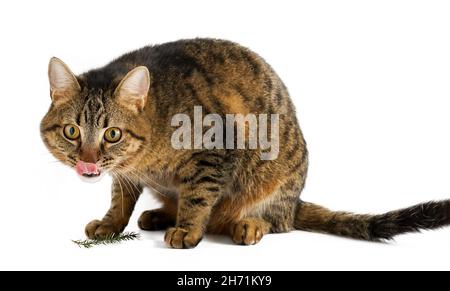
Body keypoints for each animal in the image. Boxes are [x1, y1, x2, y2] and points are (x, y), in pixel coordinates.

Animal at [41, 38, 450, 249]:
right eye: (71, 132)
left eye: (112, 134)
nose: (88, 161)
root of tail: (296, 200)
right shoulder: (126, 174)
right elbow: (120, 198)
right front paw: (112, 223)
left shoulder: (214, 150)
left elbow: (198, 196)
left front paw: (189, 229)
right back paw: (159, 214)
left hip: (279, 179)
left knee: (279, 221)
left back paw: (249, 223)